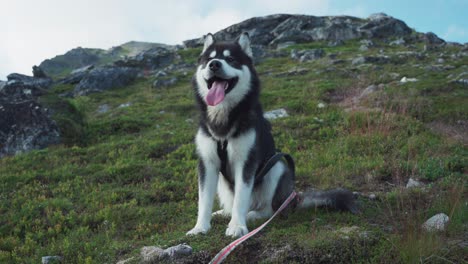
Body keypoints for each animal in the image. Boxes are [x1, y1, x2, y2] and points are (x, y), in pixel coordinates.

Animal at [186, 32, 354, 238]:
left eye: (231, 59)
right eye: (208, 59)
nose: (214, 65)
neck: (222, 119)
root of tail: (294, 199)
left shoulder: (246, 162)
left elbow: (241, 198)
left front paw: (237, 226)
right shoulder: (207, 162)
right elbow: (204, 200)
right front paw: (200, 227)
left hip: (277, 167)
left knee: (269, 208)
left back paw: (253, 215)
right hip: (224, 183)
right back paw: (223, 213)